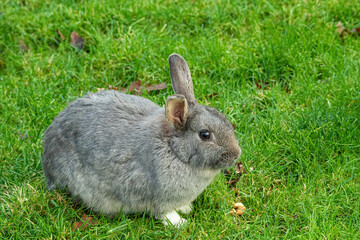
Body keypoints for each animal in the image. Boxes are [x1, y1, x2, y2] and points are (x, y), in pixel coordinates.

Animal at [42, 53, 242, 226]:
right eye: (205, 135)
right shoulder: (157, 197)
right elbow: (164, 213)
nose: (236, 154)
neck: (174, 150)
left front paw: (186, 208)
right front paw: (180, 223)